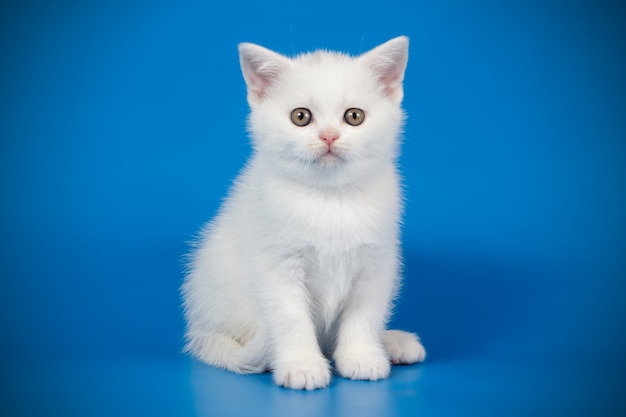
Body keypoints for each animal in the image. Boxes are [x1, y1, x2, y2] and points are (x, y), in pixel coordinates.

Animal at [180, 36, 424, 390]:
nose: (329, 136)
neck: (330, 199)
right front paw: (302, 365)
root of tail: (199, 330)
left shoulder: (376, 263)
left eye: (354, 116)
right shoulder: (276, 264)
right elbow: (291, 317)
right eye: (300, 117)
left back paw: (392, 342)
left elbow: (364, 314)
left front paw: (362, 356)